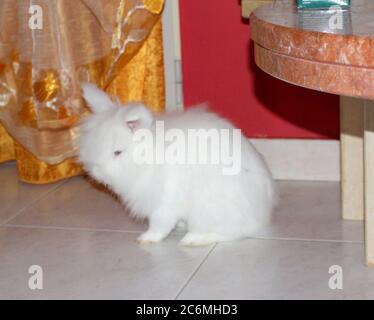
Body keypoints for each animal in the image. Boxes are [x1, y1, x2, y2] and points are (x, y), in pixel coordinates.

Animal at [79, 82, 278, 245]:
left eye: (117, 152)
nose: (96, 172)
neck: (148, 160)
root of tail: (263, 214)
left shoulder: (164, 203)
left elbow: (159, 225)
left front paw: (146, 238)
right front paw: (178, 226)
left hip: (212, 211)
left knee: (233, 232)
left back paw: (193, 239)